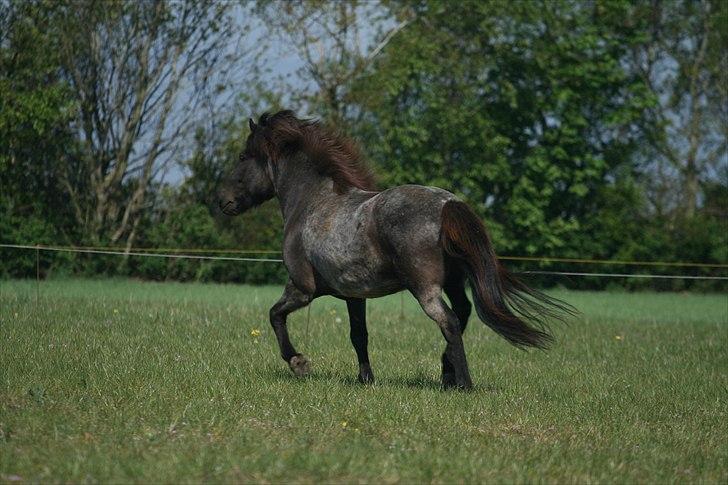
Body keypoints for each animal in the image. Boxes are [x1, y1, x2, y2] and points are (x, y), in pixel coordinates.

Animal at [218, 109, 576, 390]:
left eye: (242, 157)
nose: (223, 201)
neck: (313, 203)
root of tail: (448, 204)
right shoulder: (353, 295)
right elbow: (358, 335)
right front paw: (366, 379)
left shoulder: (303, 288)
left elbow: (275, 315)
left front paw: (298, 362)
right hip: (453, 281)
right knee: (462, 313)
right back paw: (446, 372)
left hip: (424, 287)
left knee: (449, 321)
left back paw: (462, 383)